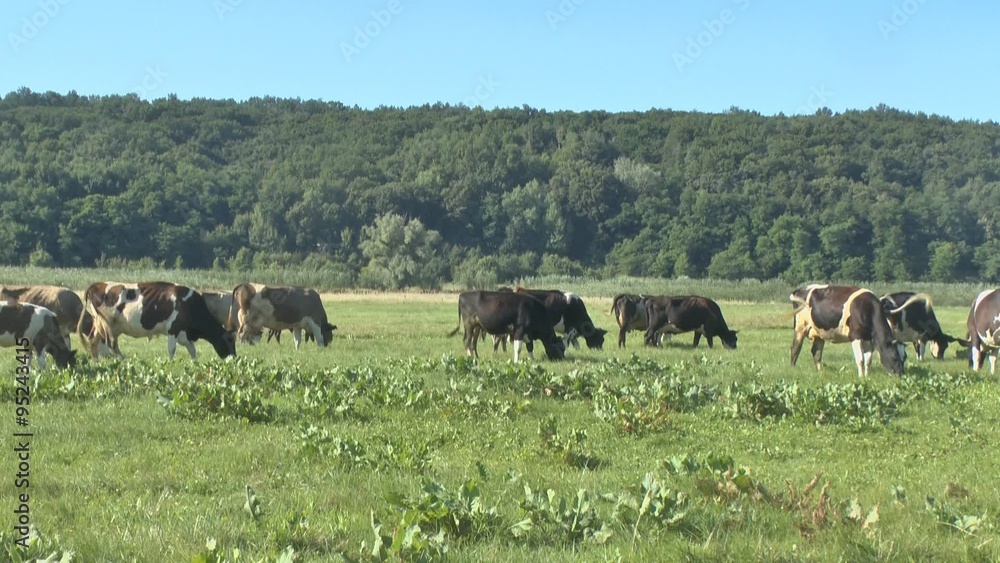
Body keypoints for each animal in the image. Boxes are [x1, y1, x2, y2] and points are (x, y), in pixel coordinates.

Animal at [81, 282, 236, 360]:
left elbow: (192, 350)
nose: (234, 358)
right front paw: (171, 363)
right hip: (109, 326)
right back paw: (123, 360)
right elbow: (172, 349)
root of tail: (97, 284)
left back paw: (96, 361)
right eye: (229, 340)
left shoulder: (184, 333)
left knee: (94, 341)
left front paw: (195, 364)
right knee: (112, 345)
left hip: (99, 325)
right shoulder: (173, 329)